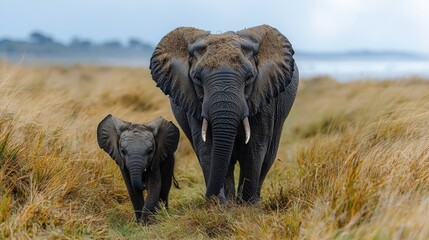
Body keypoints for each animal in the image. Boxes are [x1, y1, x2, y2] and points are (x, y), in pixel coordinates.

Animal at [150, 25, 298, 203]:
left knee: (268, 157)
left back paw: (252, 200)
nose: (207, 197)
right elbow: (207, 147)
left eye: (249, 77)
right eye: (197, 78)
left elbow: (254, 147)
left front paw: (246, 204)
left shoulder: (265, 96)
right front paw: (220, 205)